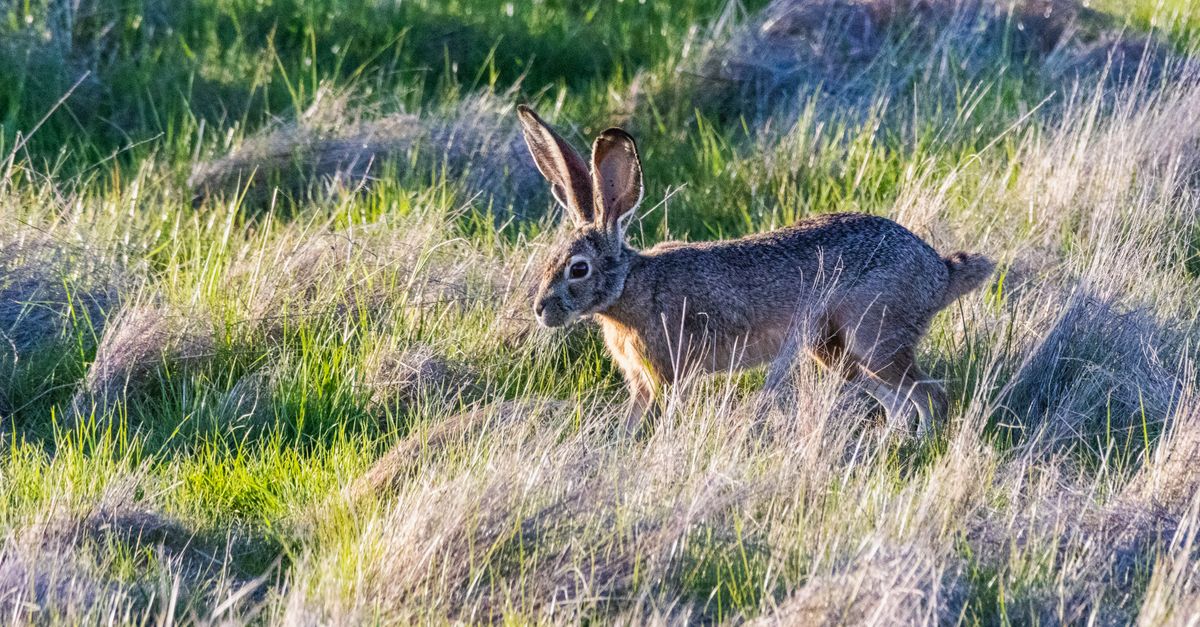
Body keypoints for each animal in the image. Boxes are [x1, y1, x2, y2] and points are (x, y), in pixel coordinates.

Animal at [517, 105, 994, 437]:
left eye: (578, 269)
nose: (541, 309)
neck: (629, 286)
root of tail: (938, 274)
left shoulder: (666, 373)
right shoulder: (642, 381)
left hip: (874, 334)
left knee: (930, 396)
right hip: (834, 350)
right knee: (897, 400)